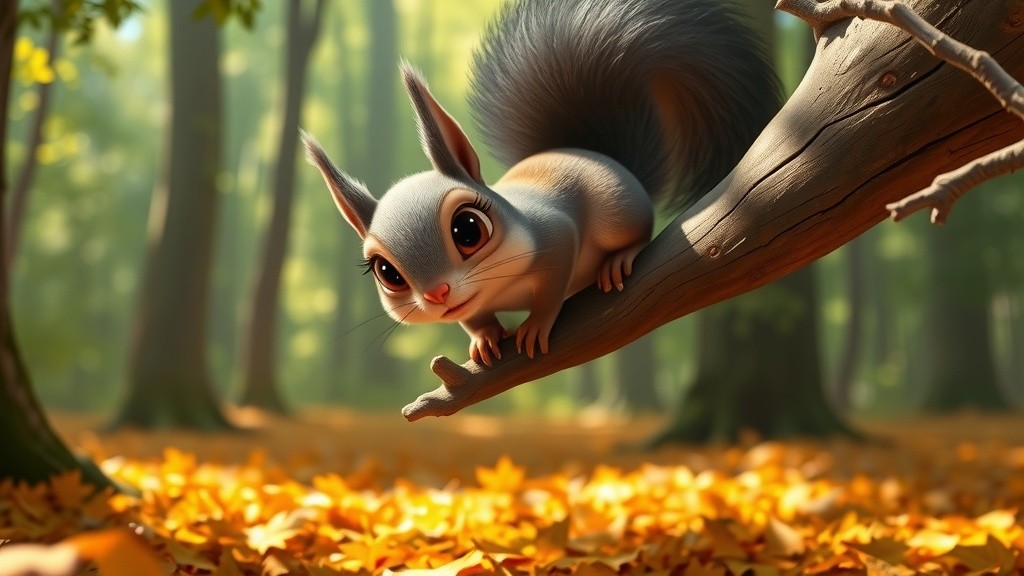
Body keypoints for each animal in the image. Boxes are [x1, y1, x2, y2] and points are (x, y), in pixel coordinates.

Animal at [302, 0, 780, 366]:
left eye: (469, 229)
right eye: (386, 272)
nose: (437, 294)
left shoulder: (553, 232)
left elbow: (554, 278)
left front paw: (534, 325)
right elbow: (471, 316)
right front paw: (484, 338)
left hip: (619, 209)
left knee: (637, 231)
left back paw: (618, 260)